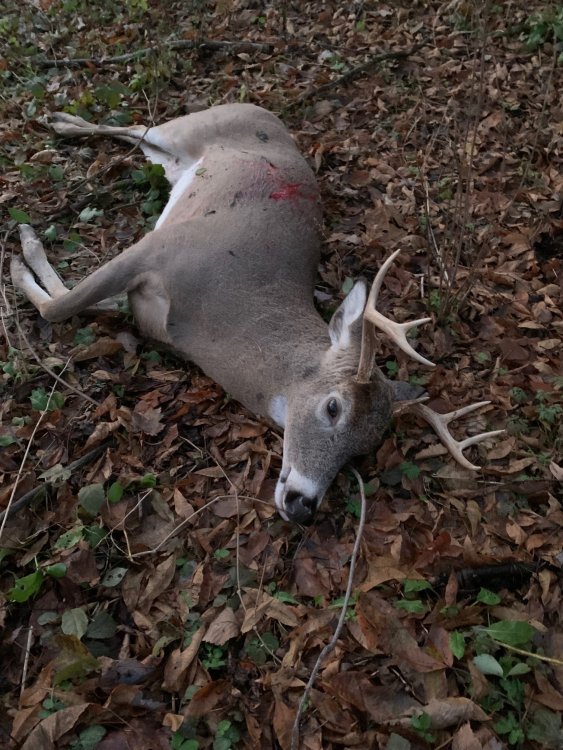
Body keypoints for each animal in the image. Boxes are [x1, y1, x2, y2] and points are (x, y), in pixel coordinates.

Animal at [10, 103, 503, 524]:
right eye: (333, 407)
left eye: (363, 450)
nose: (304, 506)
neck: (212, 320)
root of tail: (265, 111)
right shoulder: (160, 247)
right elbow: (58, 308)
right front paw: (23, 250)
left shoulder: (143, 307)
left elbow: (75, 301)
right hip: (189, 127)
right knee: (138, 125)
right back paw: (60, 123)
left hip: (169, 162)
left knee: (138, 137)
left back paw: (61, 125)